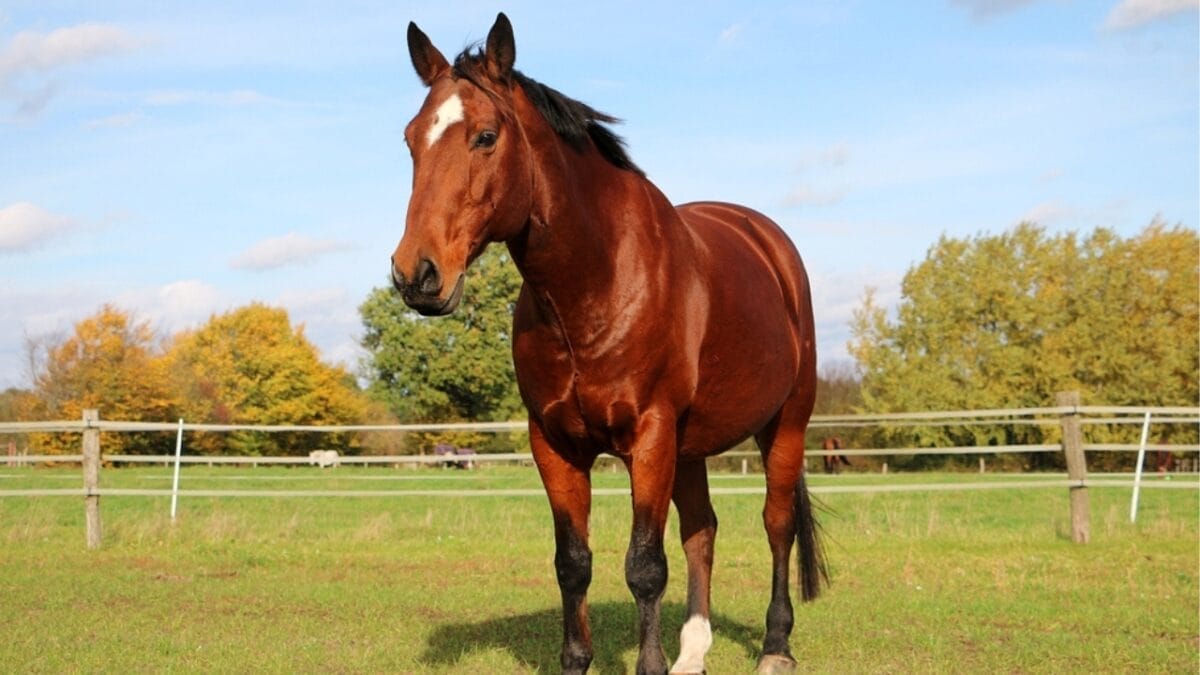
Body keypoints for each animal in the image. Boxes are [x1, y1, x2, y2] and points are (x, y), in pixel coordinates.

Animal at [390, 14, 825, 674]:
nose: (417, 274)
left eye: (486, 137)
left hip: (785, 424)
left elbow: (644, 567)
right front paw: (579, 658)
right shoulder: (555, 445)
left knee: (777, 525)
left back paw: (776, 647)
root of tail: (767, 240)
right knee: (702, 531)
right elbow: (573, 564)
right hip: (690, 447)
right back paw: (692, 653)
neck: (596, 282)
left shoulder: (648, 438)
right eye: (412, 140)